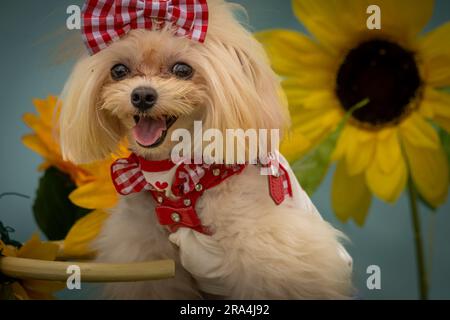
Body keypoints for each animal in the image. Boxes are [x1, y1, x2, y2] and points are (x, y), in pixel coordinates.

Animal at [59, 0, 354, 300]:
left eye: (182, 69)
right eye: (119, 70)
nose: (141, 95)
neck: (176, 171)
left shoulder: (272, 250)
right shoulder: (147, 254)